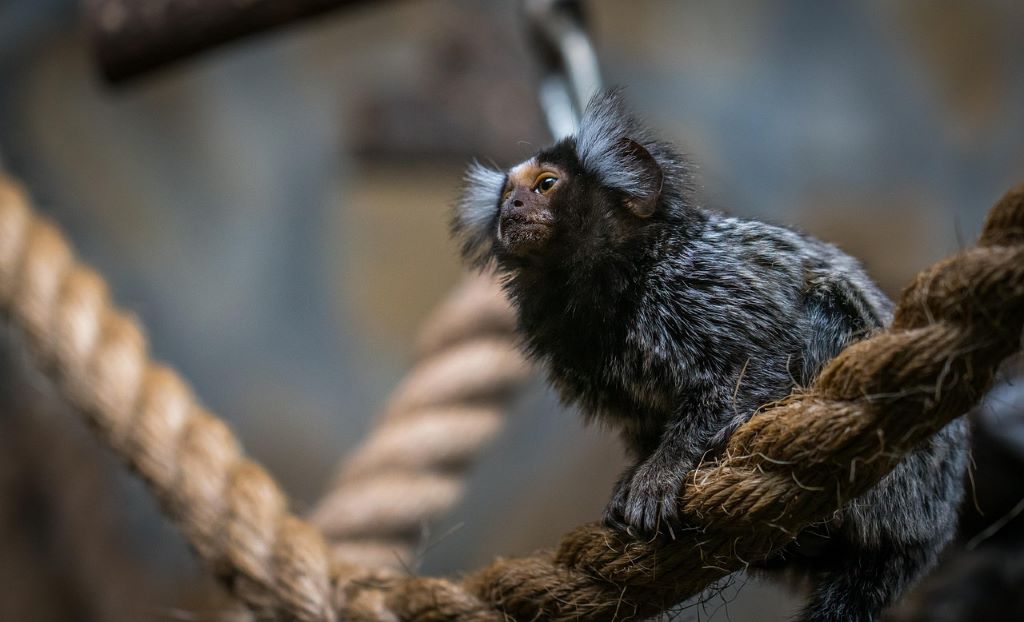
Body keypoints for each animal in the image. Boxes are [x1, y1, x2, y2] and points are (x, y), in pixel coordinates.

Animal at [451, 90, 968, 621]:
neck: (619, 276)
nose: (512, 206)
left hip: (899, 484)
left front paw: (665, 468)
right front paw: (636, 474)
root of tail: (929, 532)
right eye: (506, 197)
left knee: (825, 308)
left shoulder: (697, 284)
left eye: (546, 185)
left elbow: (756, 364)